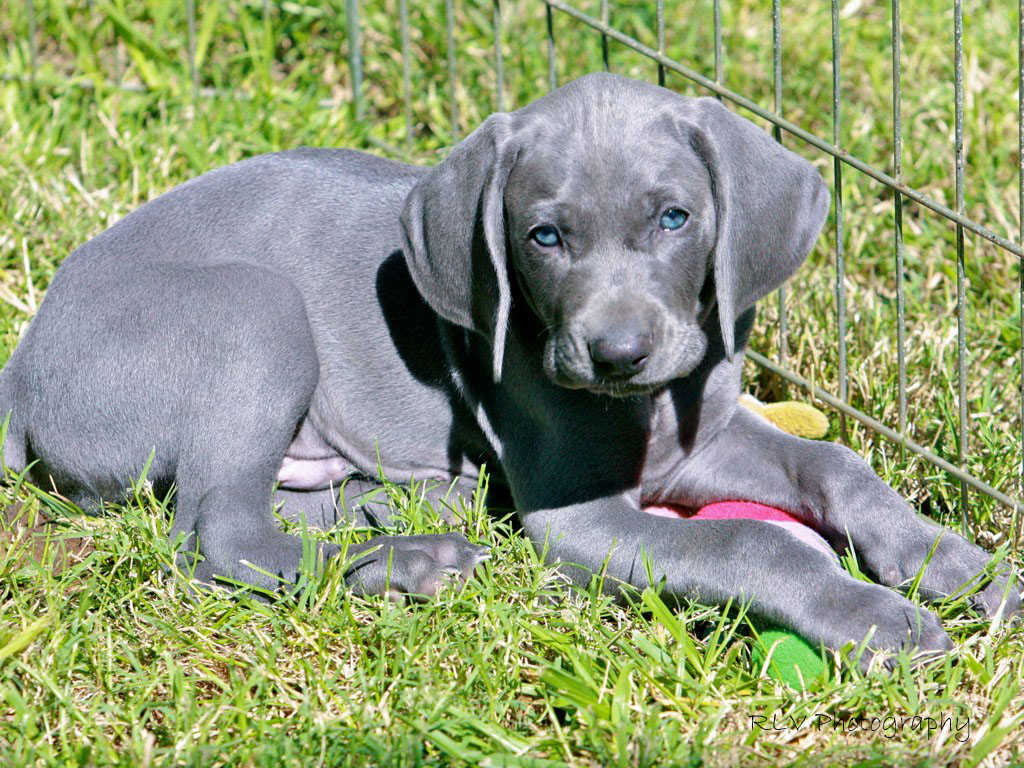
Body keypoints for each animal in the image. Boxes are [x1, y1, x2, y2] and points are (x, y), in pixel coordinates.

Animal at [0, 75, 1015, 659]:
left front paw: (960, 566)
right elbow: (746, 541)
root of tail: (23, 360)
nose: (617, 355)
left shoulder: (700, 440)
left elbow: (836, 463)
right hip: (253, 312)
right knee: (218, 536)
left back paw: (411, 516)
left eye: (675, 218)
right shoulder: (583, 515)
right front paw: (873, 619)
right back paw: (414, 559)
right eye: (544, 237)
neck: (647, 409)